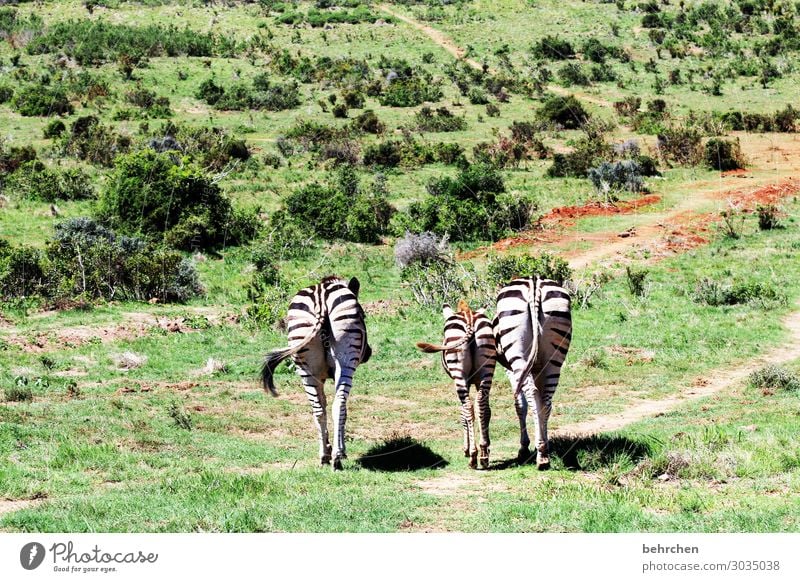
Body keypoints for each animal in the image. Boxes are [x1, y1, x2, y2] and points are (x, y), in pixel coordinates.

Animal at [264, 276, 374, 472]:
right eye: (363, 315)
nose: (368, 353)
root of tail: (321, 298)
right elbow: (343, 410)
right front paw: (341, 450)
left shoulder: (319, 377)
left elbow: (323, 404)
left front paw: (329, 447)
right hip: (346, 362)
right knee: (339, 405)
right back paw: (337, 459)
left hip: (304, 363)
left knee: (318, 410)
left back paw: (324, 456)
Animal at [416, 302, 496, 470]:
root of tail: (469, 316)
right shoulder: (477, 381)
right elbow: (487, 411)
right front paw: (487, 447)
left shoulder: (464, 381)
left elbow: (462, 415)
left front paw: (466, 449)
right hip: (487, 369)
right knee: (481, 406)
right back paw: (483, 454)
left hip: (458, 372)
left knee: (468, 408)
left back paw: (473, 456)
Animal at [494, 276, 568, 472]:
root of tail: (534, 282)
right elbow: (541, 405)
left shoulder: (510, 371)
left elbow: (520, 405)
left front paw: (524, 447)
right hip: (554, 358)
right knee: (546, 402)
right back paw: (543, 452)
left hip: (518, 356)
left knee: (533, 396)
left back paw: (540, 456)